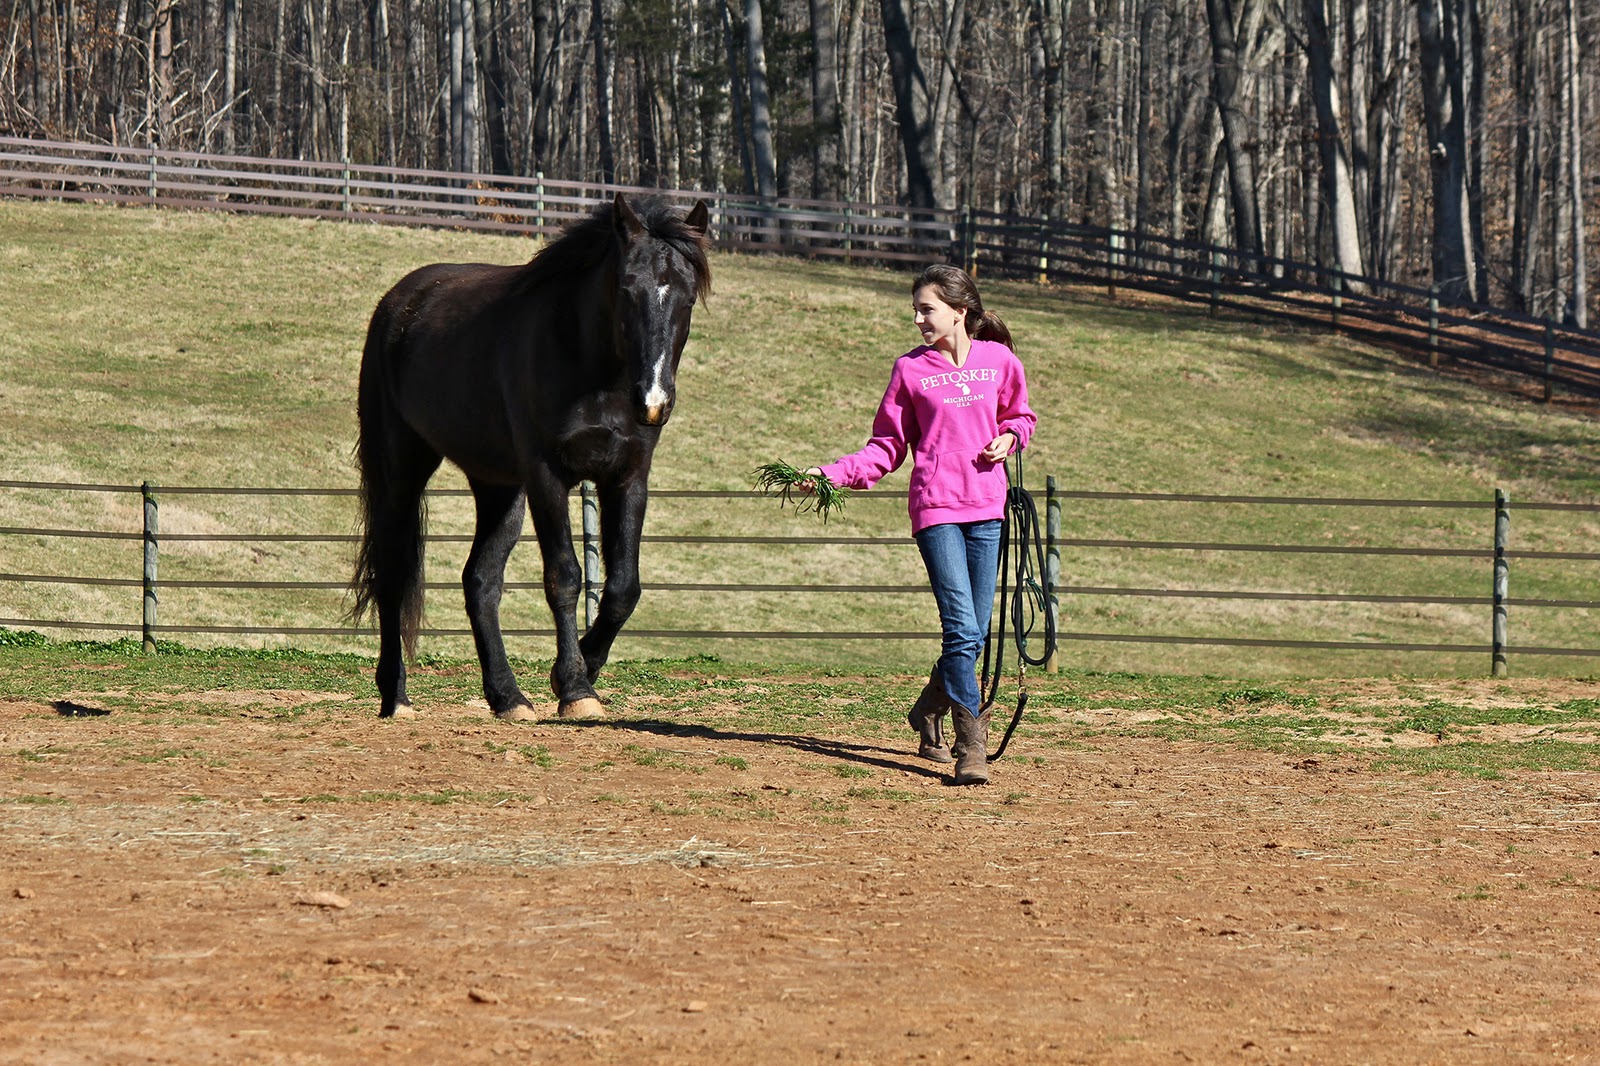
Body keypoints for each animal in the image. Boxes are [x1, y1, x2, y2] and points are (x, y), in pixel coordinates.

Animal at [350, 192, 712, 721]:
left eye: (687, 298)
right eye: (626, 290)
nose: (654, 401)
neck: (590, 367)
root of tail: (398, 303)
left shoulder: (627, 477)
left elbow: (623, 588)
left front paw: (581, 671)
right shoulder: (547, 477)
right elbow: (565, 577)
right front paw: (576, 688)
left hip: (498, 487)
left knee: (480, 581)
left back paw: (508, 697)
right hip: (402, 471)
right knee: (394, 576)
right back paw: (396, 698)